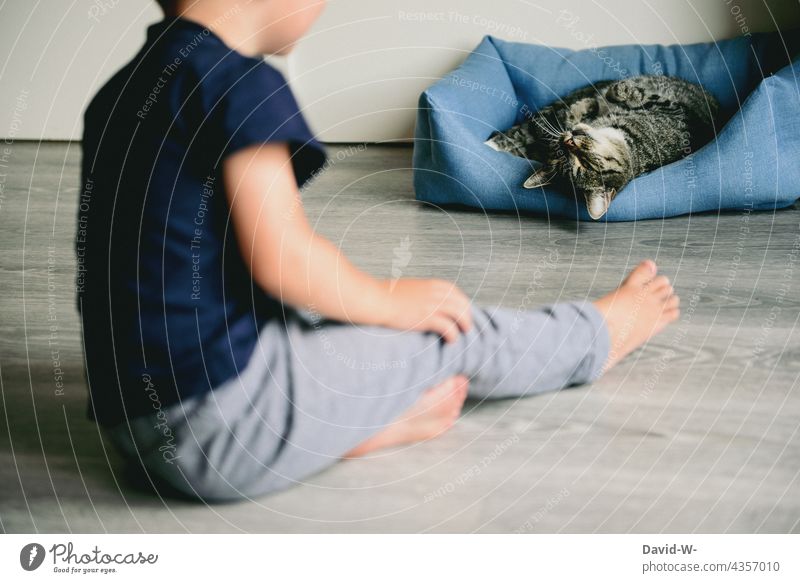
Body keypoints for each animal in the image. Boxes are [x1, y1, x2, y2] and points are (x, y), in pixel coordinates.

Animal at [484, 74, 720, 218]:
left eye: (584, 162)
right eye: (562, 154)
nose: (568, 140)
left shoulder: (677, 112)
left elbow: (638, 95)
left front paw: (614, 93)